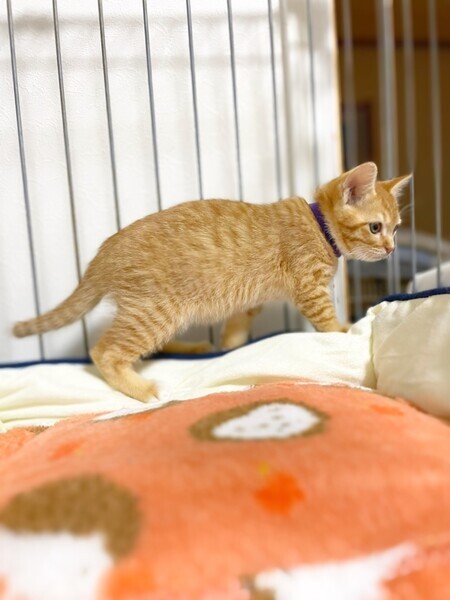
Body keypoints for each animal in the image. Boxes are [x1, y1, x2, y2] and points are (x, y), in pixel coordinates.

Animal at [13, 162, 410, 402]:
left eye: (395, 229)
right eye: (375, 227)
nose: (391, 249)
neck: (319, 227)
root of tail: (103, 254)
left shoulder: (252, 299)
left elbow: (238, 324)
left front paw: (230, 345)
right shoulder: (309, 287)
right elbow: (326, 320)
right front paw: (343, 331)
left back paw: (192, 348)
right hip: (155, 311)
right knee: (104, 352)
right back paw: (141, 388)